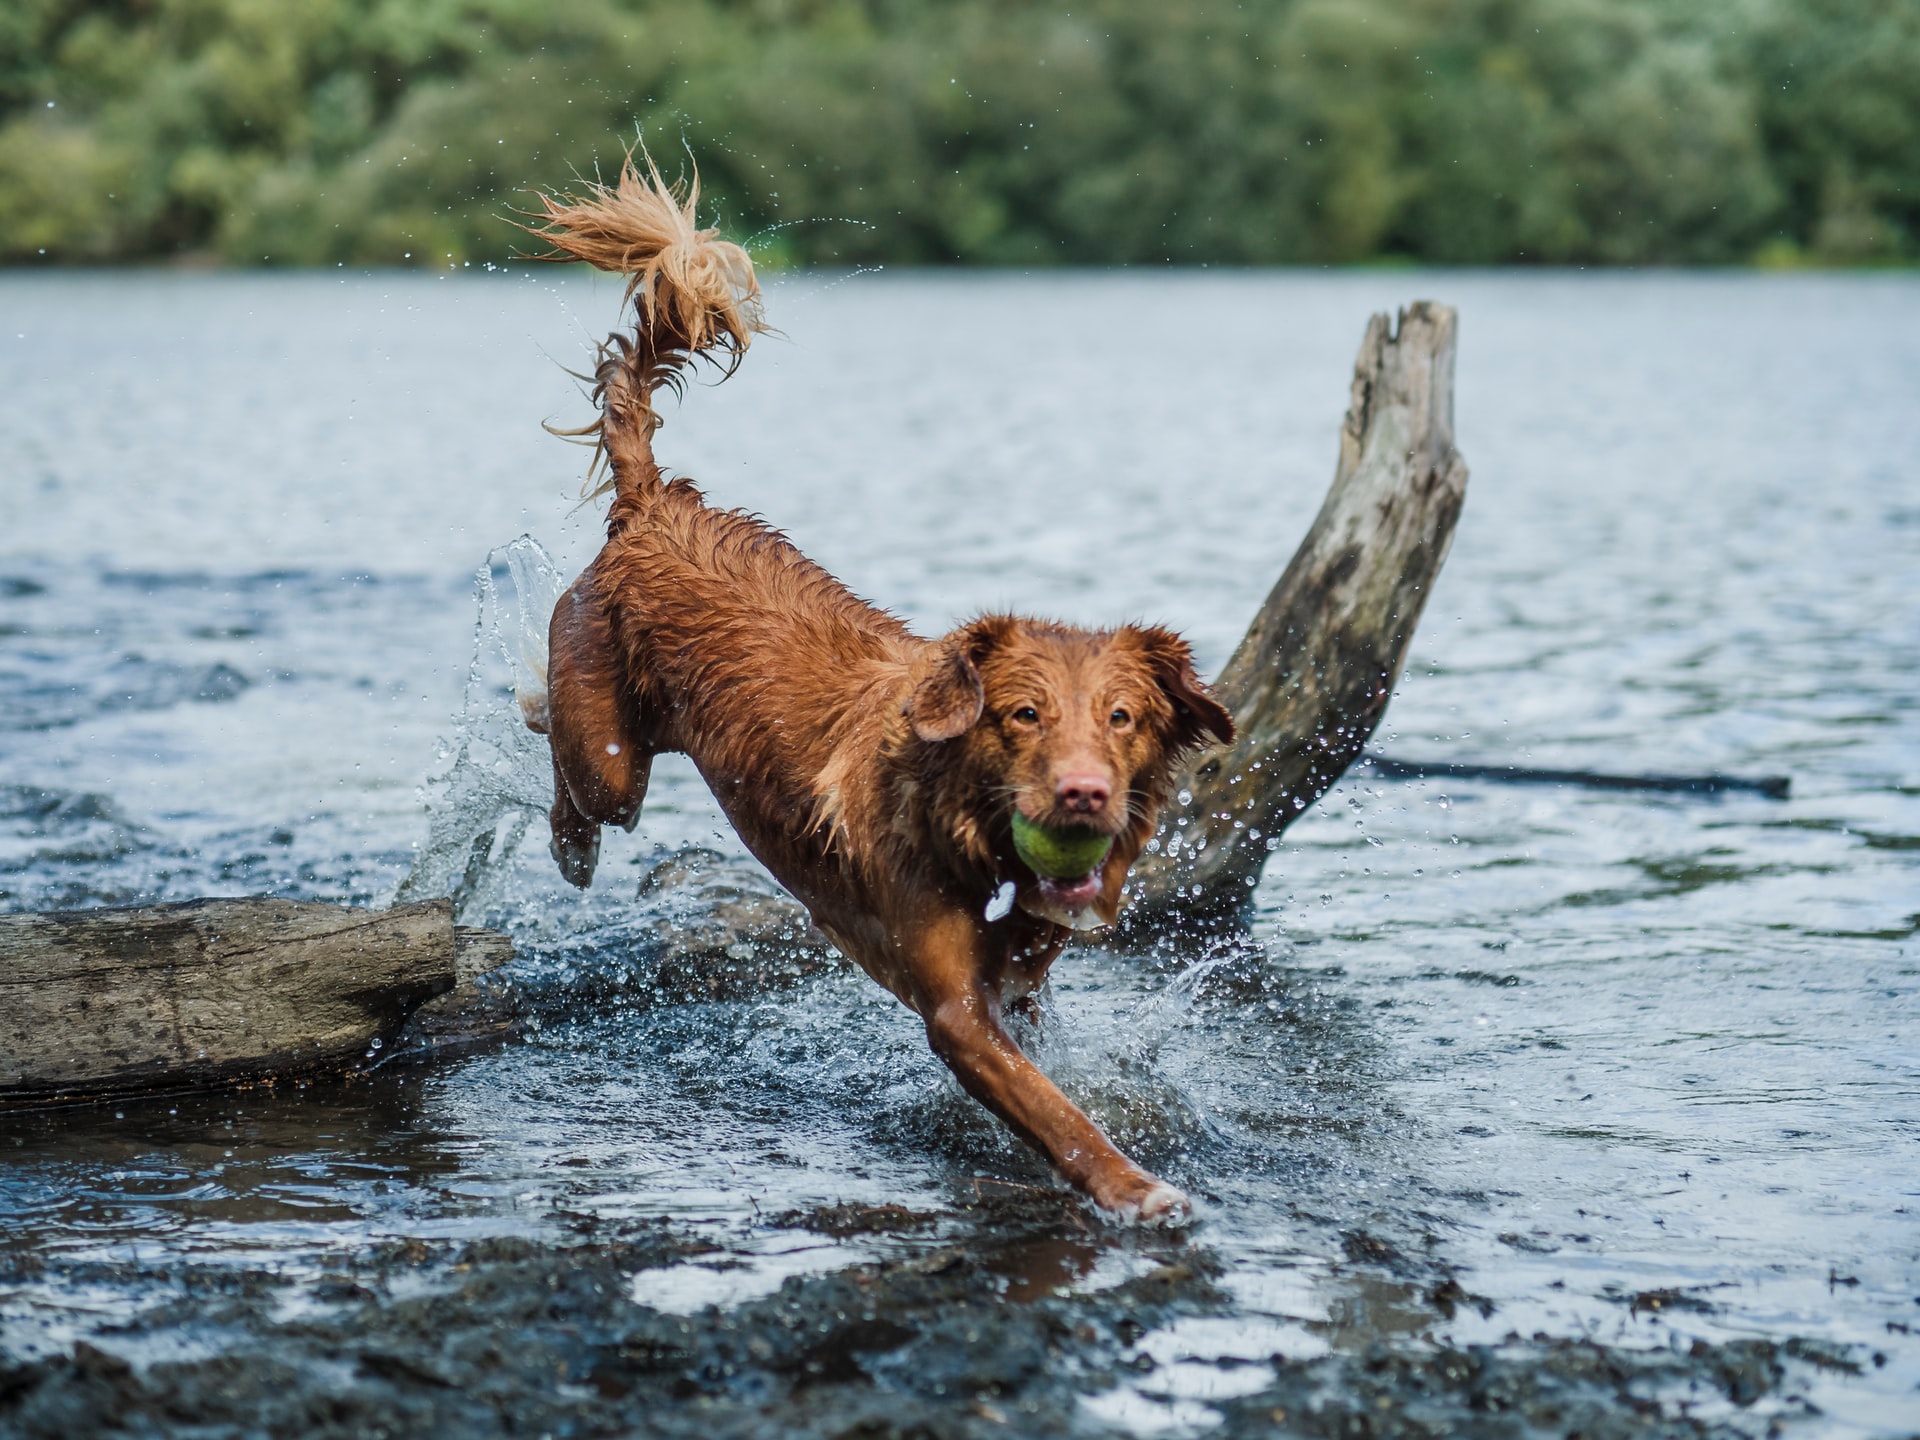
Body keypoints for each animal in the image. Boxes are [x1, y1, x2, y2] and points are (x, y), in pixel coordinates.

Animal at [526, 163, 1228, 1221]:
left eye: (1123, 719)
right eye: (1022, 715)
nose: (1083, 795)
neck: (970, 830)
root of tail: (657, 506)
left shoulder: (1018, 985)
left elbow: (1055, 1074)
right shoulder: (955, 1013)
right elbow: (1059, 1115)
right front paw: (1136, 1189)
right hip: (611, 752)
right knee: (572, 766)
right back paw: (569, 839)